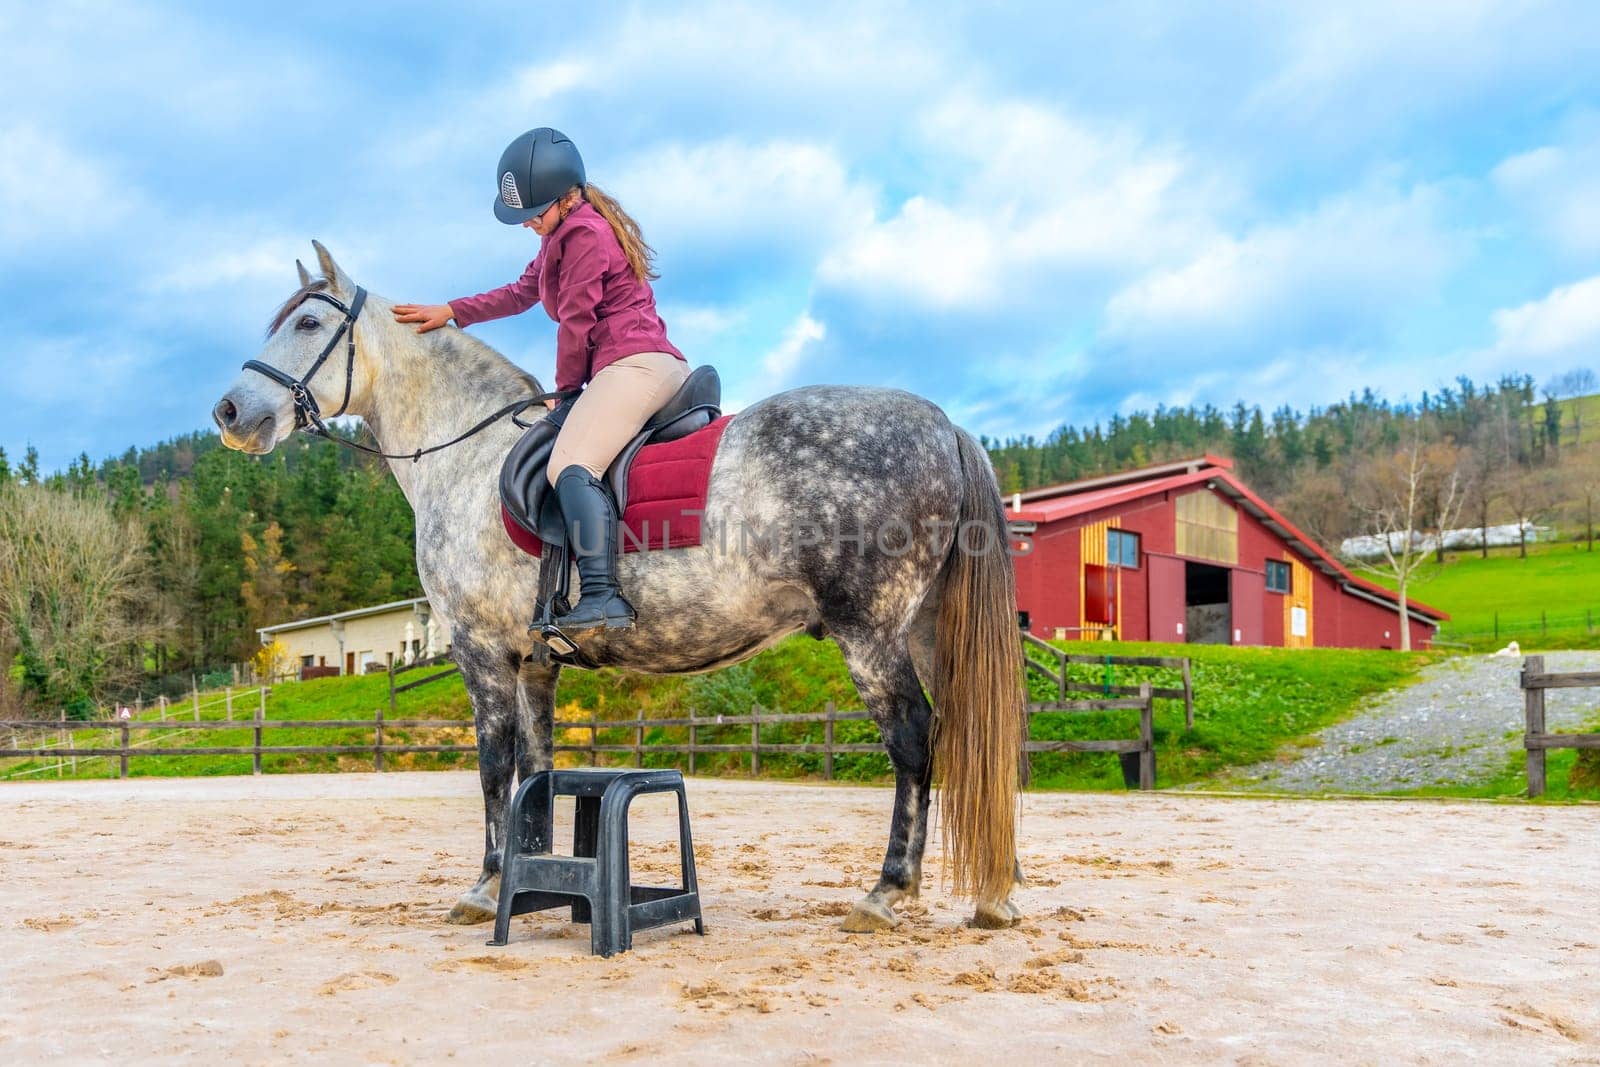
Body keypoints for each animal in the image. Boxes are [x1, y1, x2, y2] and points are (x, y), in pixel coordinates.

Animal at [212, 246, 1024, 927]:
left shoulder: (480, 651)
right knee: (970, 733)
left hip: (871, 633)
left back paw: (888, 889)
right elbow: (537, 771)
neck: (469, 453)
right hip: (927, 631)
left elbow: (494, 766)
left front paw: (486, 885)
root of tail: (945, 426)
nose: (230, 413)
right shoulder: (534, 662)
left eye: (310, 322)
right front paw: (536, 879)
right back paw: (996, 892)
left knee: (913, 739)